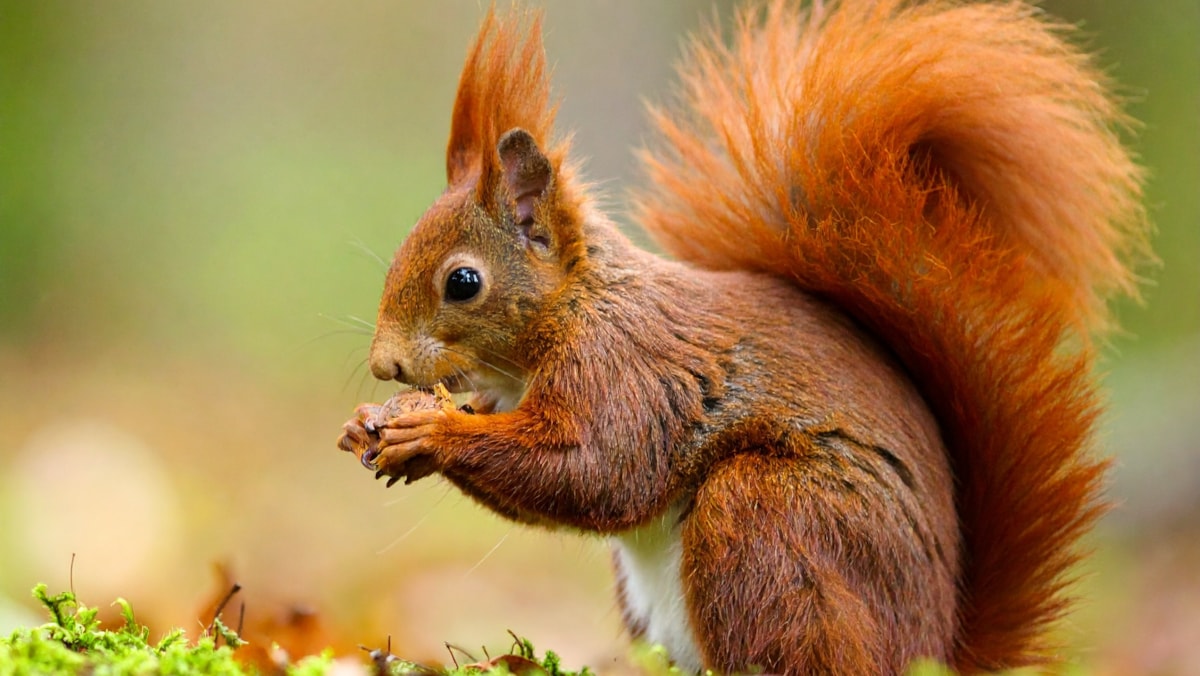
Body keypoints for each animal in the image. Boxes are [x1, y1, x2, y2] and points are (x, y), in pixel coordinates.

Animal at [336, 0, 1149, 673]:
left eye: (462, 282)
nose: (385, 365)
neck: (573, 310)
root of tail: (933, 647)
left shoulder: (628, 369)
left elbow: (594, 469)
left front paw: (431, 433)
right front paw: (369, 425)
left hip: (772, 522)